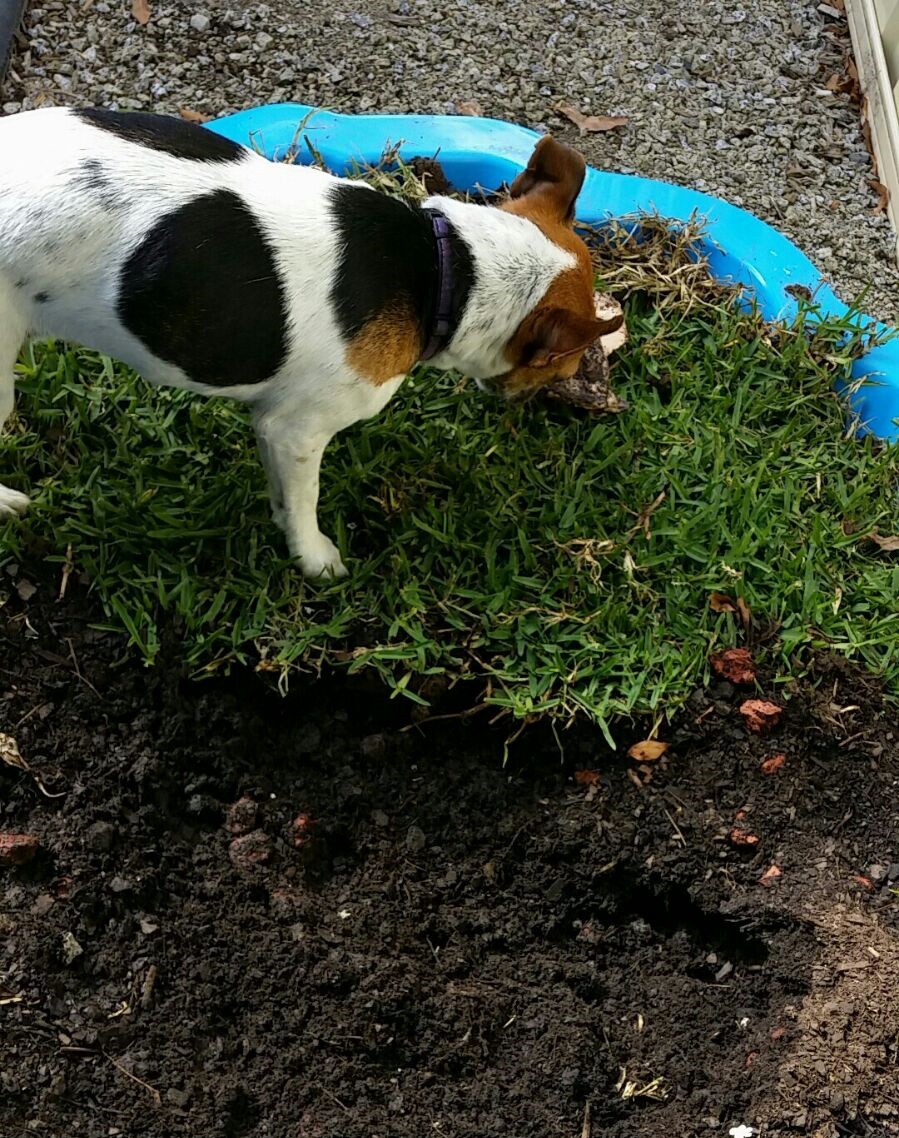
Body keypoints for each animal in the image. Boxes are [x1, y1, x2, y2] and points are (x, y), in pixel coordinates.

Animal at [0, 108, 619, 578]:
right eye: (564, 365)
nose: (573, 383)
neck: (446, 268)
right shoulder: (298, 432)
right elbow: (305, 504)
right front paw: (314, 559)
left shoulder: (272, 425)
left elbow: (281, 494)